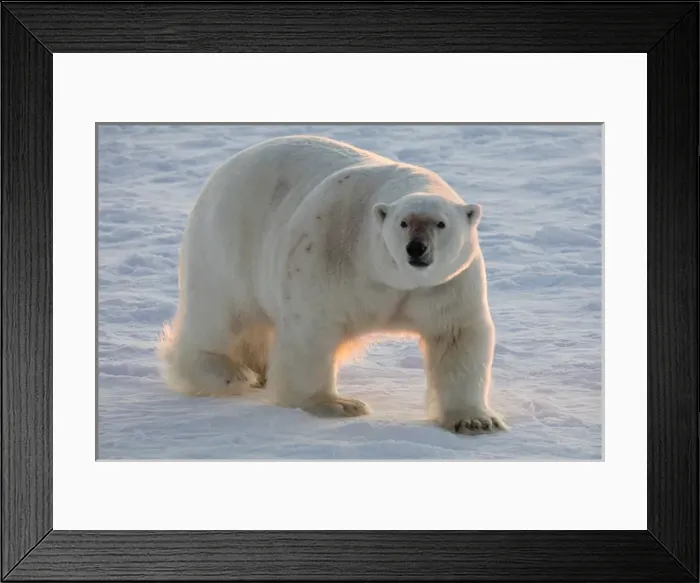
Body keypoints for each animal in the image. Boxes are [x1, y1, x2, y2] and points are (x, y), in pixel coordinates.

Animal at [157, 134, 506, 434]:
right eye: (403, 222)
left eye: (441, 223)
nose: (416, 248)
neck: (390, 277)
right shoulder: (328, 253)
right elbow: (312, 330)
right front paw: (339, 404)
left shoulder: (447, 285)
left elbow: (457, 335)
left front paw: (476, 421)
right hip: (228, 246)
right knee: (219, 315)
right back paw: (231, 372)